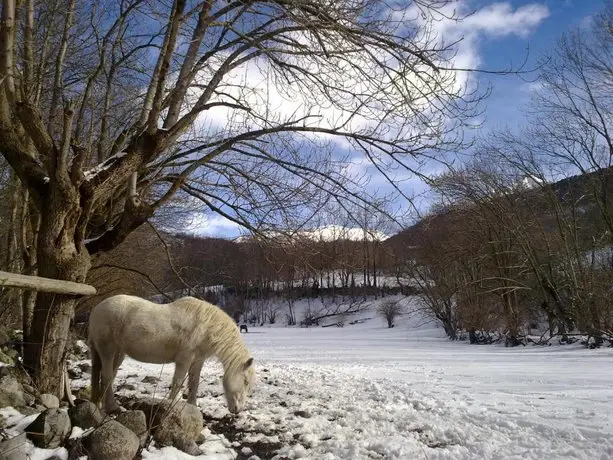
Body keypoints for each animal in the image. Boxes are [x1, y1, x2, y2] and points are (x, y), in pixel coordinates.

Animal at [87, 294, 255, 414]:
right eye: (245, 381)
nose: (238, 410)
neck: (206, 327)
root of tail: (96, 309)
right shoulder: (184, 359)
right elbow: (178, 382)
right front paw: (172, 405)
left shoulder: (197, 361)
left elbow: (194, 384)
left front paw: (192, 407)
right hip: (107, 350)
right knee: (107, 376)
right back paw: (112, 407)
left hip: (117, 353)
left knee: (105, 375)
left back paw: (99, 403)